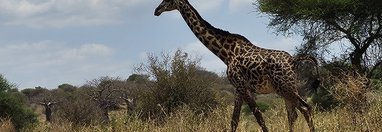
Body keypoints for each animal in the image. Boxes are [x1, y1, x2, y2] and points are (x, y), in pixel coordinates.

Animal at [154, 0, 316, 131]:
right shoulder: (238, 88)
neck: (226, 53)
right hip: (285, 88)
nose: (156, 10)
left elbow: (259, 118)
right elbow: (235, 120)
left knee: (305, 108)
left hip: (285, 87)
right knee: (293, 114)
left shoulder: (242, 86)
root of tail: (294, 60)